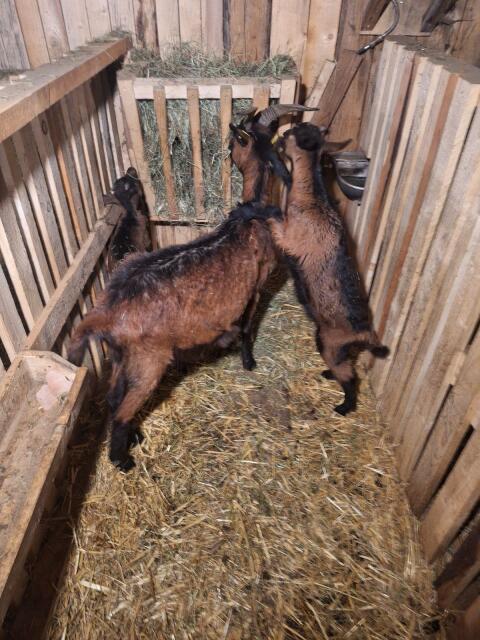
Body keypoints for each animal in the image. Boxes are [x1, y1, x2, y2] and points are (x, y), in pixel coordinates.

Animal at [68, 202, 282, 471]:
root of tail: (108, 311)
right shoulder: (256, 287)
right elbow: (245, 328)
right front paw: (248, 360)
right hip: (149, 360)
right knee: (122, 412)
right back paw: (123, 461)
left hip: (122, 356)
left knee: (114, 397)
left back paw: (135, 437)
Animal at [267, 122, 388, 415]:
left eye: (290, 135)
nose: (278, 138)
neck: (313, 200)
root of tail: (364, 333)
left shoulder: (289, 238)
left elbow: (272, 214)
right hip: (337, 347)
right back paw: (329, 377)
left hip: (330, 344)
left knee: (350, 377)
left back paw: (344, 406)